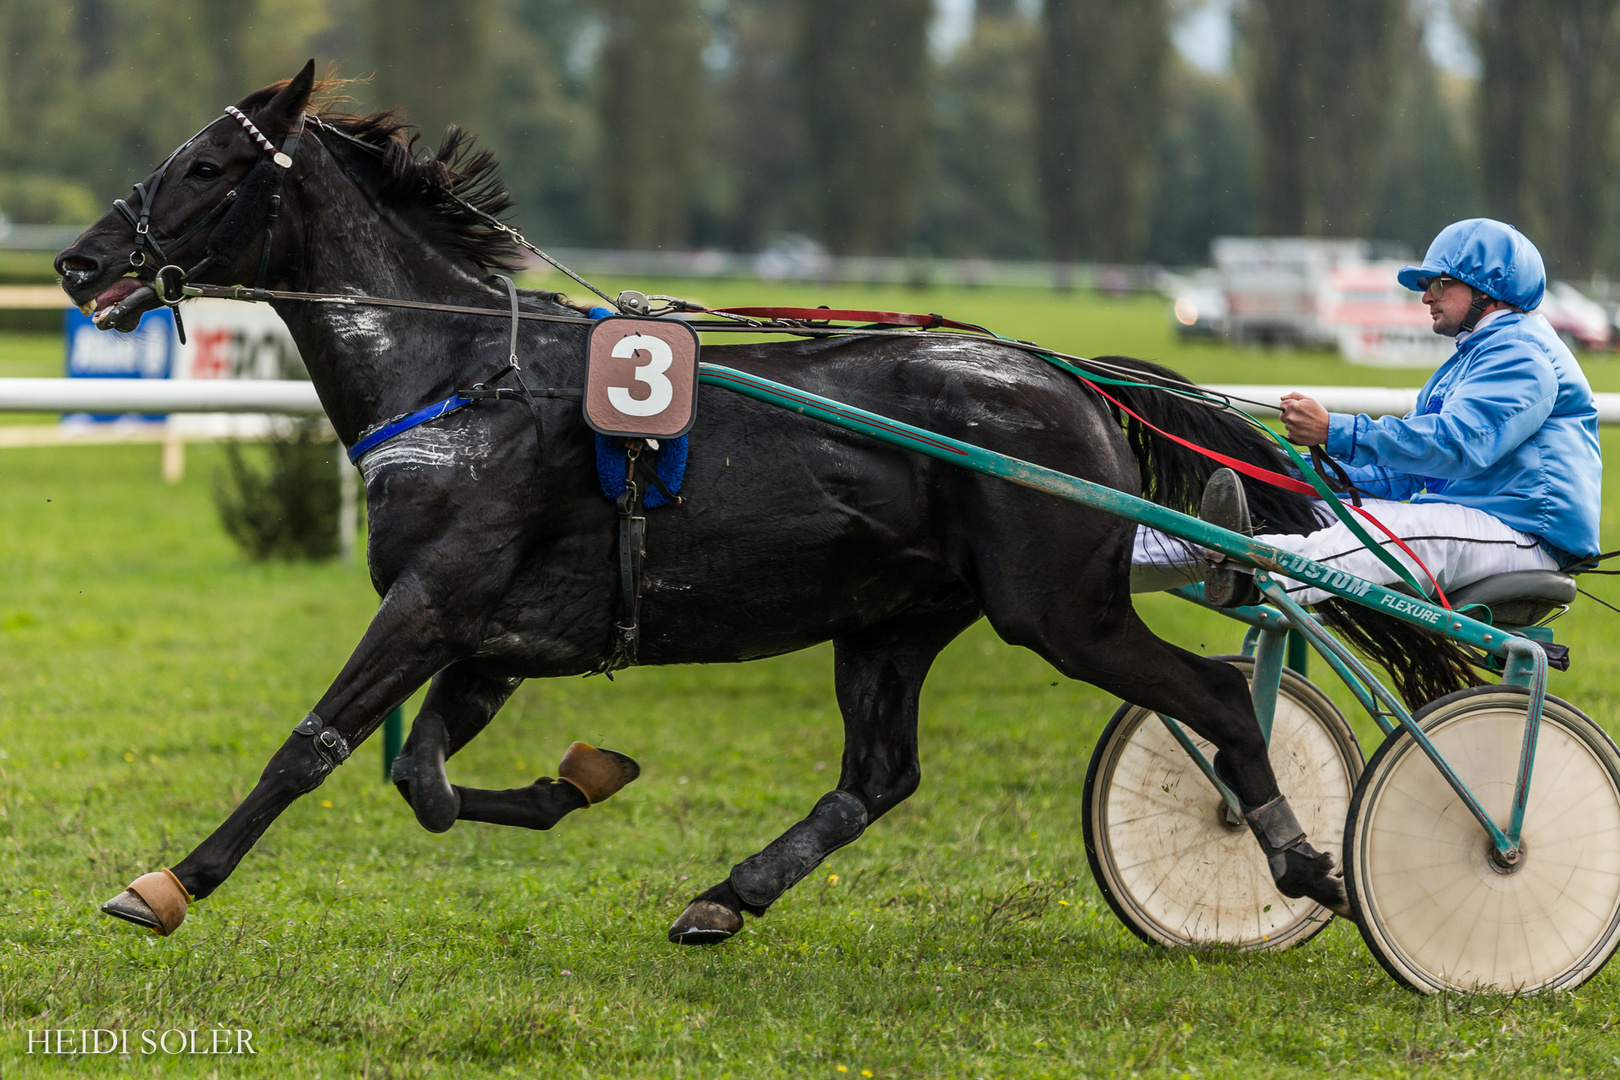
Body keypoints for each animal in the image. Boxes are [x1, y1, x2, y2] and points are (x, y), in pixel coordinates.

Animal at [59, 65, 1458, 945]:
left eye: (207, 164)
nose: (79, 261)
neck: (459, 372)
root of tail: (1059, 374)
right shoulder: (497, 638)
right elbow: (428, 781)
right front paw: (581, 779)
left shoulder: (435, 600)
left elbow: (315, 749)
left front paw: (170, 881)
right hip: (892, 620)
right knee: (879, 775)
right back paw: (727, 896)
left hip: (1061, 609)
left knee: (1218, 695)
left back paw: (1299, 860)